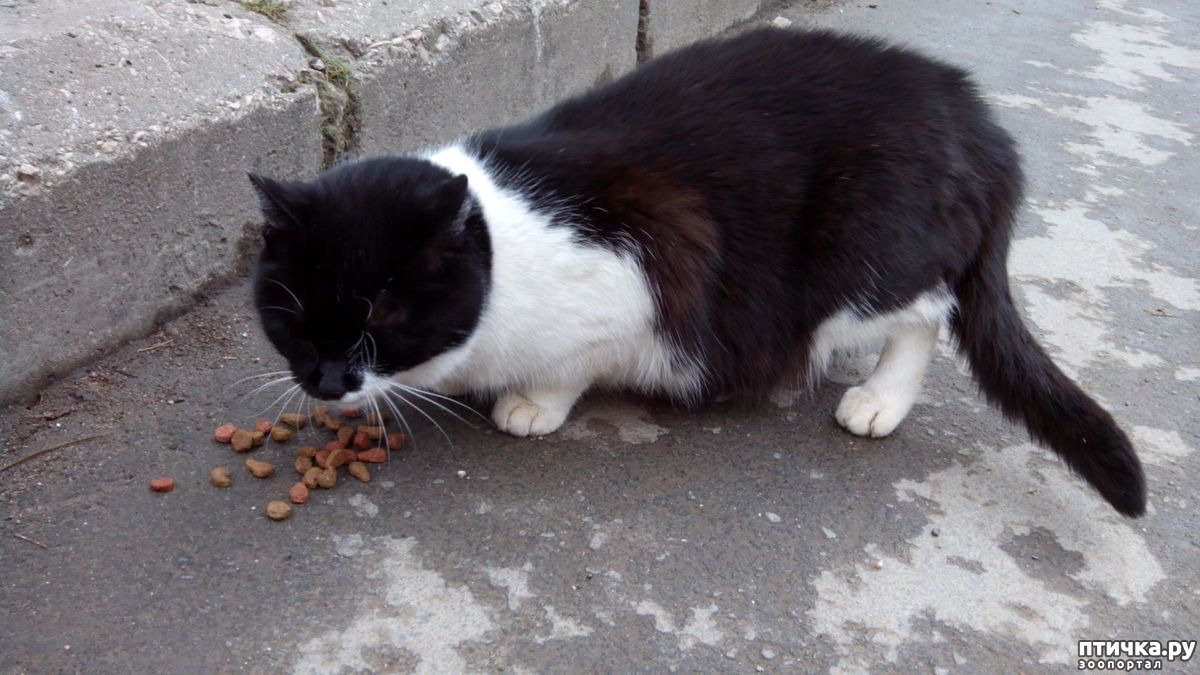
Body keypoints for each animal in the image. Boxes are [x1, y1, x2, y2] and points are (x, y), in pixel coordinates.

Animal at [248, 27, 1146, 516]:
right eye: (293, 317)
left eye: (382, 316)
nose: (327, 379)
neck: (502, 241)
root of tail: (975, 115)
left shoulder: (643, 269)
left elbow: (573, 363)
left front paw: (535, 403)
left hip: (861, 251)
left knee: (928, 311)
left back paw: (879, 399)